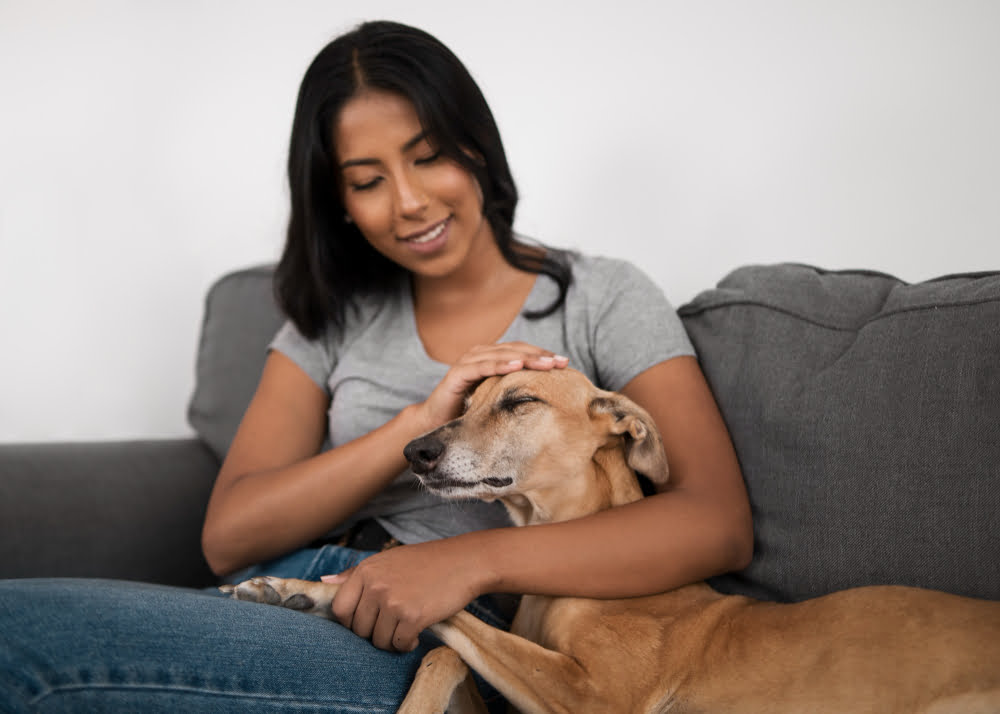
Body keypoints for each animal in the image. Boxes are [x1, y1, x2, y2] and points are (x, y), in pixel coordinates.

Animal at [223, 368, 1000, 712]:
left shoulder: (595, 696)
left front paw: (362, 579)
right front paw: (291, 590)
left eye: (519, 401)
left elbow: (456, 621)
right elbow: (448, 657)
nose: (414, 451)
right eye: (466, 401)